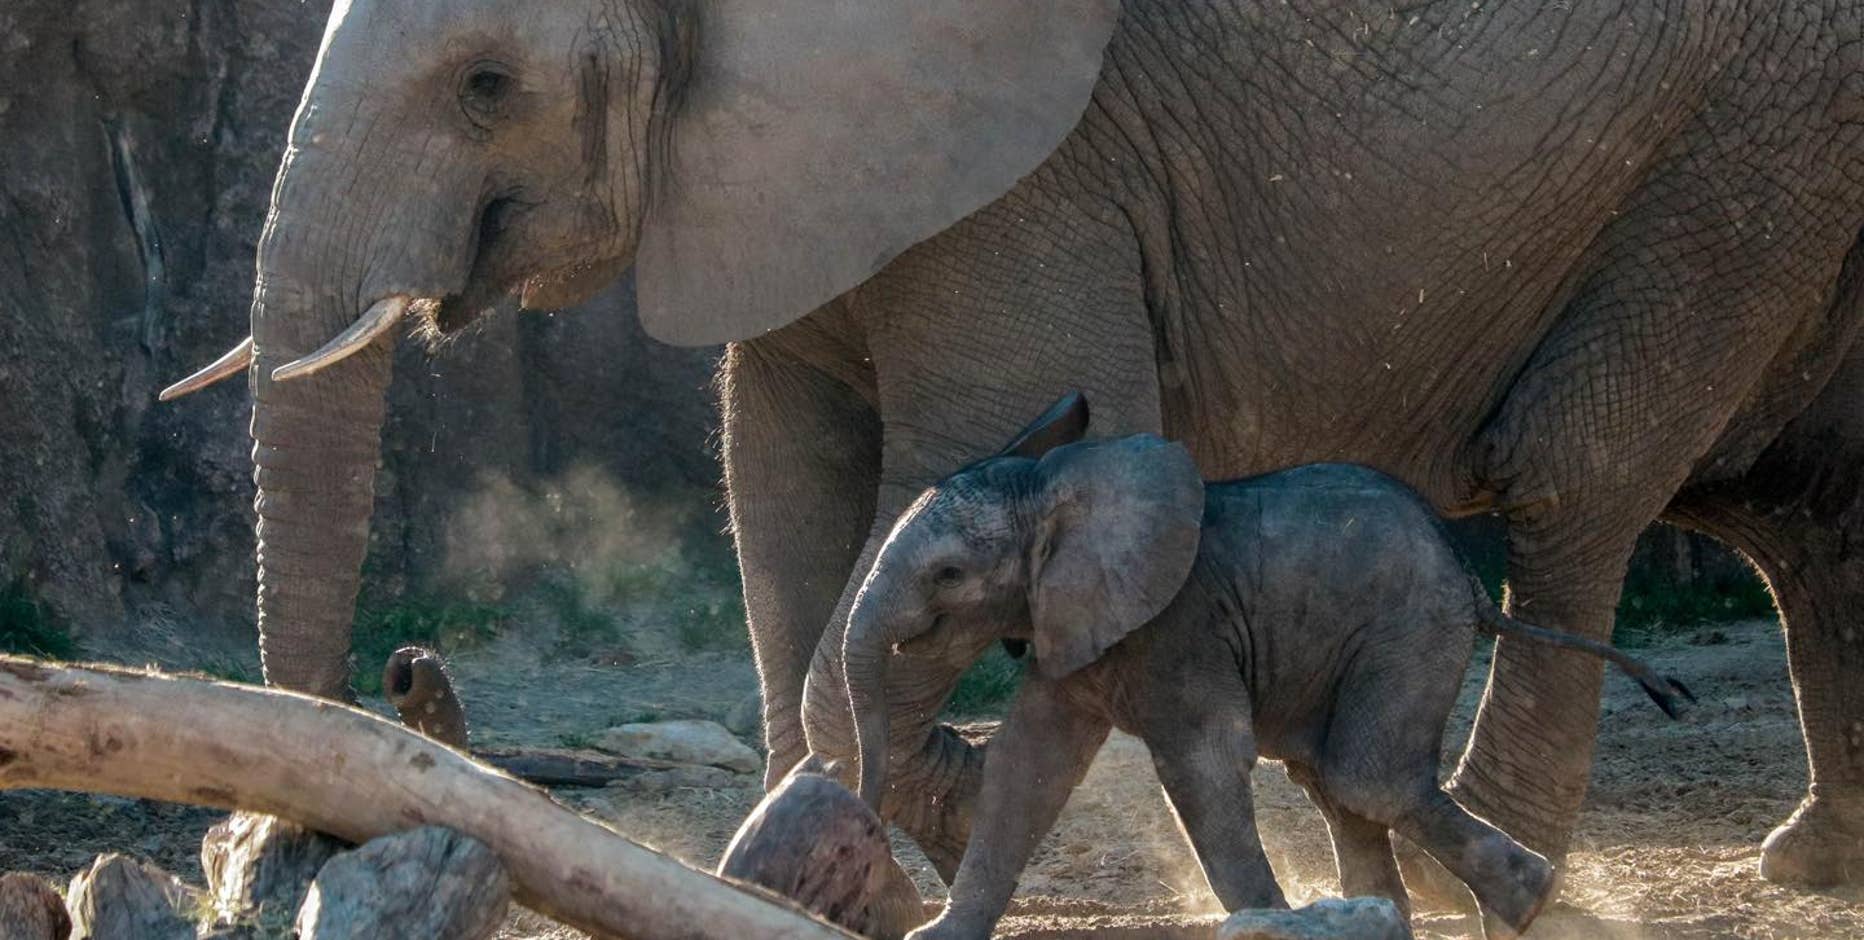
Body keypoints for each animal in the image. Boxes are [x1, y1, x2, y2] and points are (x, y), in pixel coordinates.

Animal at [842, 395, 1692, 940]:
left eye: (949, 575)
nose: (861, 814)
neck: (1052, 482)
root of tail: (1475, 583)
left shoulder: (1178, 627)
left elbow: (1201, 765)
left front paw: (1269, 923)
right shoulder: (1073, 623)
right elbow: (1028, 765)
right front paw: (939, 936)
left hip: (1407, 631)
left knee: (1366, 778)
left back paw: (1531, 906)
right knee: (1334, 783)